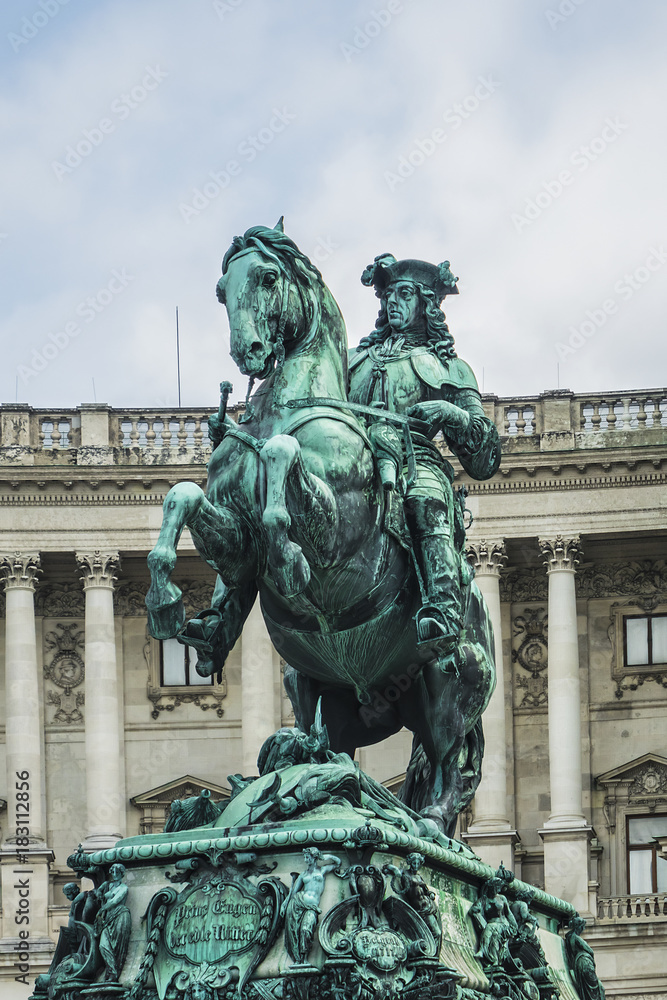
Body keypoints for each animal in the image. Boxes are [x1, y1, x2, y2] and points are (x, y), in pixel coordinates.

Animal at [147, 221, 496, 836]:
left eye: (267, 276)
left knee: (448, 762)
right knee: (332, 745)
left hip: (450, 680)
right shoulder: (235, 544)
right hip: (311, 683)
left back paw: (428, 823)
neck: (284, 410)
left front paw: (288, 558)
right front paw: (167, 600)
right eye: (221, 289)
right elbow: (182, 496)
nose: (248, 353)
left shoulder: (341, 534)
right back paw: (304, 766)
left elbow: (284, 460)